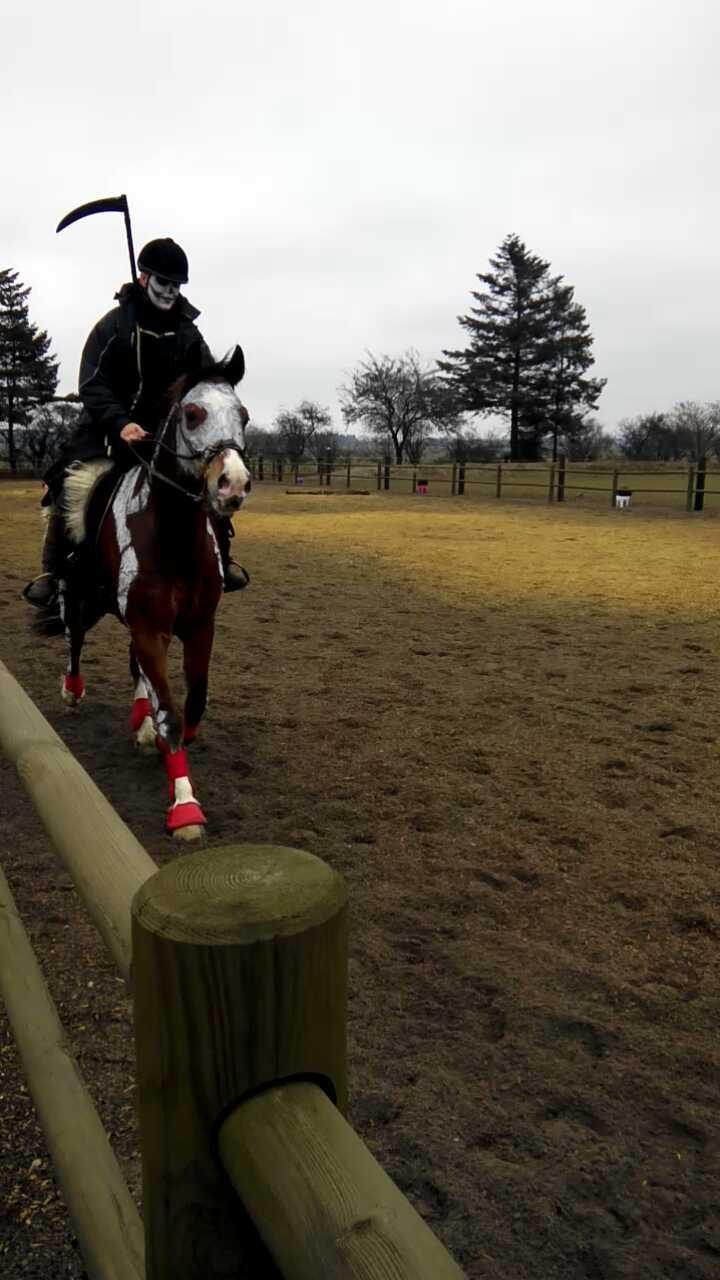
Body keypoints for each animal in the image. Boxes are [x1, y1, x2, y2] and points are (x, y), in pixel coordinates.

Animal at [52, 345, 249, 839]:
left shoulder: (198, 627)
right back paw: (73, 689)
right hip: (79, 591)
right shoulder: (149, 627)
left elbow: (191, 705)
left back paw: (139, 719)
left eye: (244, 415)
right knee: (74, 635)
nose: (233, 484)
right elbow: (172, 715)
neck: (172, 539)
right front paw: (185, 807)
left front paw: (158, 739)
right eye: (193, 415)